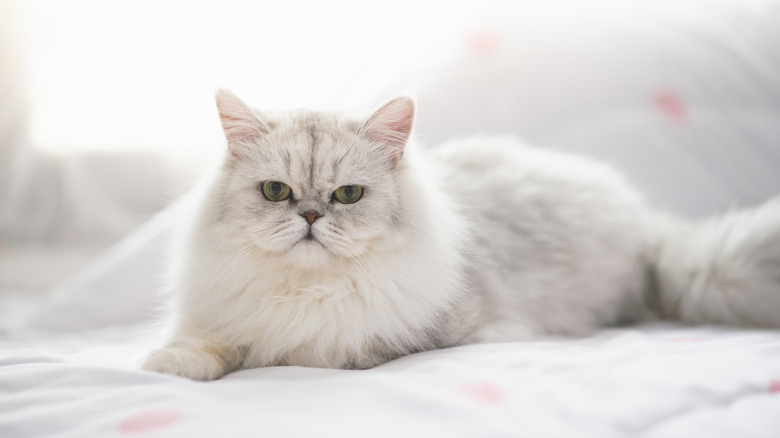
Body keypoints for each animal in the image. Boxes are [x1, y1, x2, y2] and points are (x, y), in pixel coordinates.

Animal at [143, 90, 780, 380]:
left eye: (347, 196)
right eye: (277, 192)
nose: (311, 218)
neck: (306, 291)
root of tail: (649, 224)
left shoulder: (388, 342)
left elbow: (302, 351)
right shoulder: (226, 313)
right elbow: (209, 344)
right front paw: (170, 364)